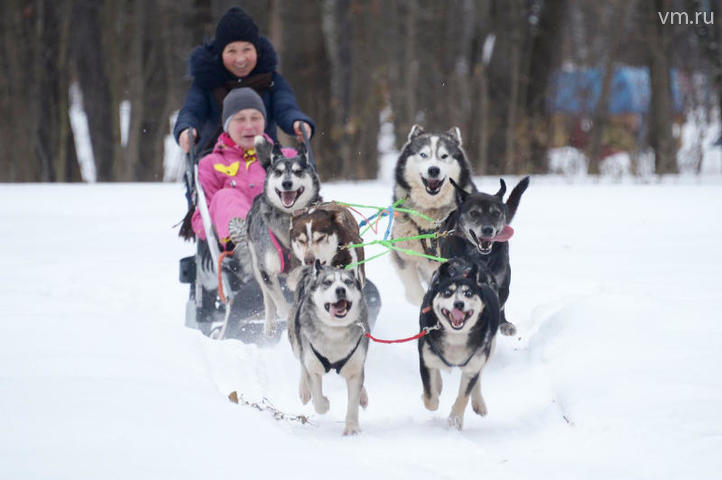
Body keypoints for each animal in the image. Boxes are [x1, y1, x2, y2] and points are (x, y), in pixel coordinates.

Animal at [231, 136, 320, 338]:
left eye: (297, 171)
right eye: (279, 172)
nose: (286, 183)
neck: (288, 218)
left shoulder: (308, 266)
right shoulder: (267, 270)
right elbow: (279, 302)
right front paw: (285, 314)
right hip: (257, 265)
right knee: (267, 299)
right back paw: (269, 324)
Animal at [286, 262, 368, 436]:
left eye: (348, 282)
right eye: (328, 283)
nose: (341, 290)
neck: (334, 331)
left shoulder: (355, 367)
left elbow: (353, 401)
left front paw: (351, 428)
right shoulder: (313, 367)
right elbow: (318, 401)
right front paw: (324, 403)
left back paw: (363, 397)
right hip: (297, 343)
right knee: (302, 364)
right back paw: (304, 391)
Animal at [416, 256, 496, 430]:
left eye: (468, 293)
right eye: (447, 292)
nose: (459, 304)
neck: (455, 336)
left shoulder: (473, 365)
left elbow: (463, 396)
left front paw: (455, 421)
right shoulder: (426, 360)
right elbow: (429, 397)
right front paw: (432, 396)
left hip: (488, 350)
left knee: (479, 375)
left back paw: (478, 402)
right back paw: (438, 384)